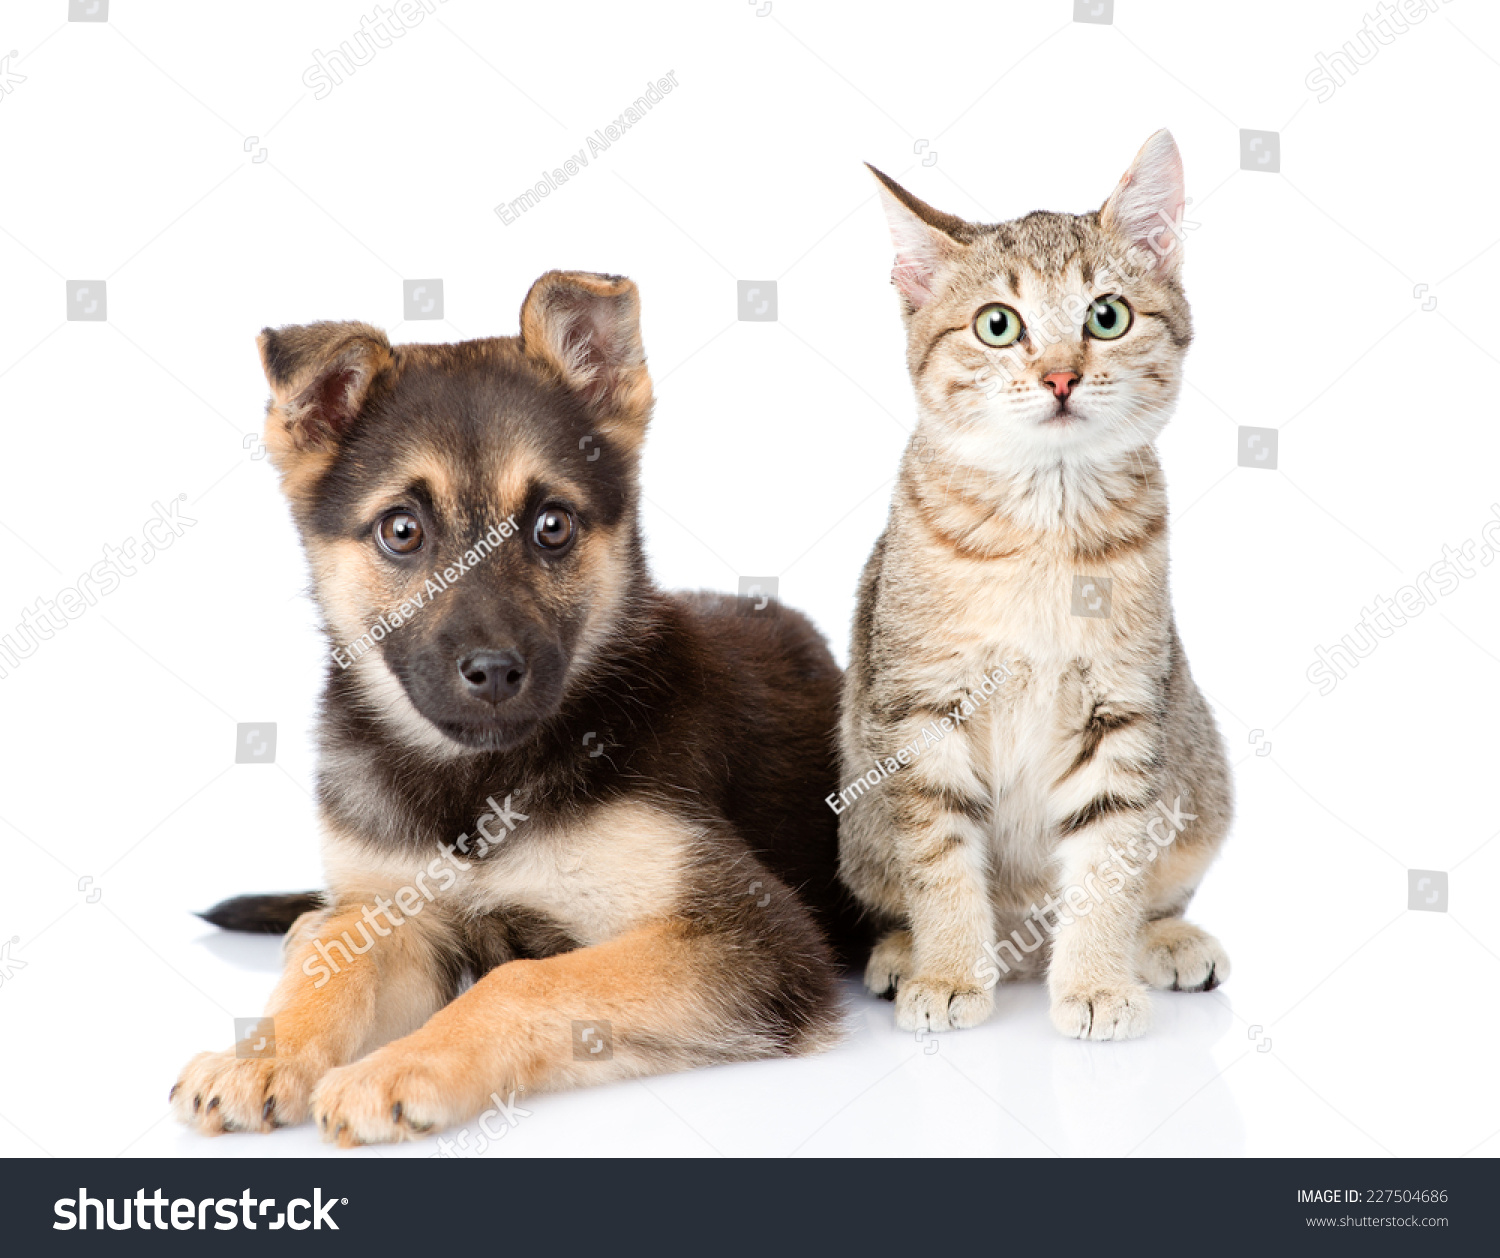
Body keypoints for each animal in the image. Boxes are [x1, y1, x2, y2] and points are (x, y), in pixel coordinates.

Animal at [840, 130, 1236, 1043]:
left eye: (1107, 315)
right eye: (998, 325)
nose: (1059, 377)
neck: (1043, 530)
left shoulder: (1125, 711)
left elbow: (1109, 862)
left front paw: (1094, 982)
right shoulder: (920, 712)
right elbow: (941, 861)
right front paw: (950, 971)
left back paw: (1162, 940)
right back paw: (904, 951)